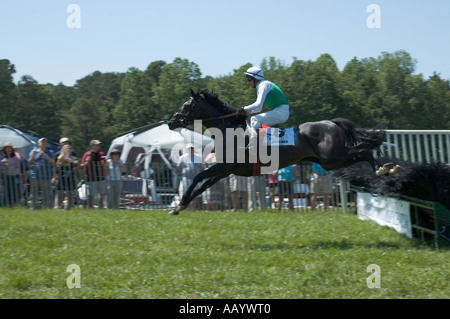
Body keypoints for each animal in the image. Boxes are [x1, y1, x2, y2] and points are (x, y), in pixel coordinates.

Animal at [167, 89, 384, 216]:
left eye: (186, 105)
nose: (171, 122)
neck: (228, 129)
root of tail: (331, 122)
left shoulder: (225, 166)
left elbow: (198, 177)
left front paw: (180, 204)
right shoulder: (225, 170)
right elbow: (202, 185)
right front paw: (179, 206)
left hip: (332, 158)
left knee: (364, 150)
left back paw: (383, 170)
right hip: (328, 161)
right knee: (360, 152)